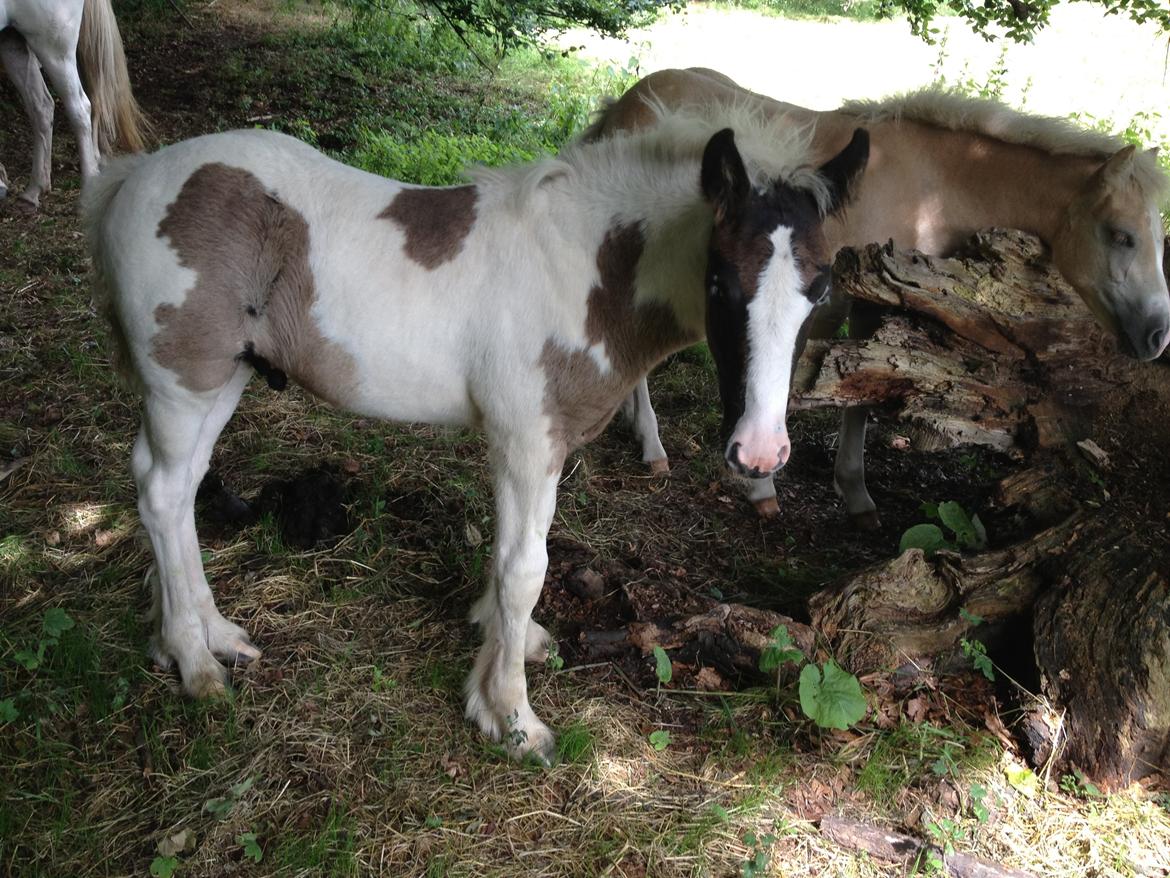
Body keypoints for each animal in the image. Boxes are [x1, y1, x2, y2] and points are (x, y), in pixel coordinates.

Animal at [82, 110, 870, 758]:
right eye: (719, 282)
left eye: (821, 288)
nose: (760, 452)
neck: (586, 270)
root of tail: (133, 177)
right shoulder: (527, 439)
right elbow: (525, 569)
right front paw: (512, 718)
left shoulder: (527, 444)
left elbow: (506, 557)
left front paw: (509, 651)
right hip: (184, 386)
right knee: (161, 493)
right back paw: (194, 663)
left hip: (224, 381)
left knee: (180, 490)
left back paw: (213, 637)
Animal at [599, 68, 1165, 529]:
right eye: (1121, 235)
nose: (1158, 336)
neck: (934, 187)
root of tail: (626, 102)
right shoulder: (859, 301)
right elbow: (841, 395)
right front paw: (801, 489)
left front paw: (849, 494)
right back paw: (651, 444)